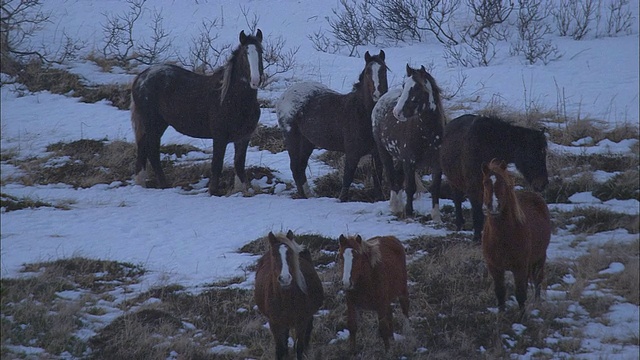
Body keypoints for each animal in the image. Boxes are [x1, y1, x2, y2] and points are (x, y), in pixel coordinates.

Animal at [131, 29, 264, 195]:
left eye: (261, 52)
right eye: (245, 54)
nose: (255, 80)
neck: (231, 99)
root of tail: (141, 78)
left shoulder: (244, 137)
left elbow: (239, 164)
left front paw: (242, 191)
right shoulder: (219, 137)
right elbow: (217, 164)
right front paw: (213, 191)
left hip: (157, 124)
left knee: (143, 148)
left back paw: (141, 183)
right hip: (153, 124)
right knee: (152, 151)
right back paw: (164, 185)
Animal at [254, 231, 324, 360]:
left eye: (290, 253)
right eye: (274, 255)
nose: (285, 278)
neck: (285, 299)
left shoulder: (301, 322)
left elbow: (299, 348)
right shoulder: (275, 324)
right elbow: (280, 349)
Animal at [276, 50, 390, 202]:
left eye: (384, 70)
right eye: (367, 72)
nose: (377, 94)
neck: (363, 113)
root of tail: (284, 96)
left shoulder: (376, 153)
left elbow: (377, 178)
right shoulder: (352, 153)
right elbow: (347, 177)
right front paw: (342, 200)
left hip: (307, 142)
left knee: (301, 167)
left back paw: (309, 195)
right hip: (292, 139)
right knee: (295, 167)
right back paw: (303, 197)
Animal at [370, 63, 444, 218]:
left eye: (417, 88)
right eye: (404, 86)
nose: (396, 112)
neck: (428, 135)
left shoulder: (437, 165)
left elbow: (435, 188)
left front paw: (436, 217)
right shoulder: (409, 162)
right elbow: (410, 187)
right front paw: (409, 213)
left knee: (398, 177)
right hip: (383, 151)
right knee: (392, 176)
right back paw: (395, 206)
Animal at [480, 159, 552, 310]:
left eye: (503, 183)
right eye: (485, 183)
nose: (494, 207)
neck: (503, 237)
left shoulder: (520, 267)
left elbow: (520, 294)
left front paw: (522, 315)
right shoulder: (495, 268)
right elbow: (500, 293)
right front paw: (501, 313)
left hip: (539, 258)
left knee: (537, 280)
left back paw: (537, 303)